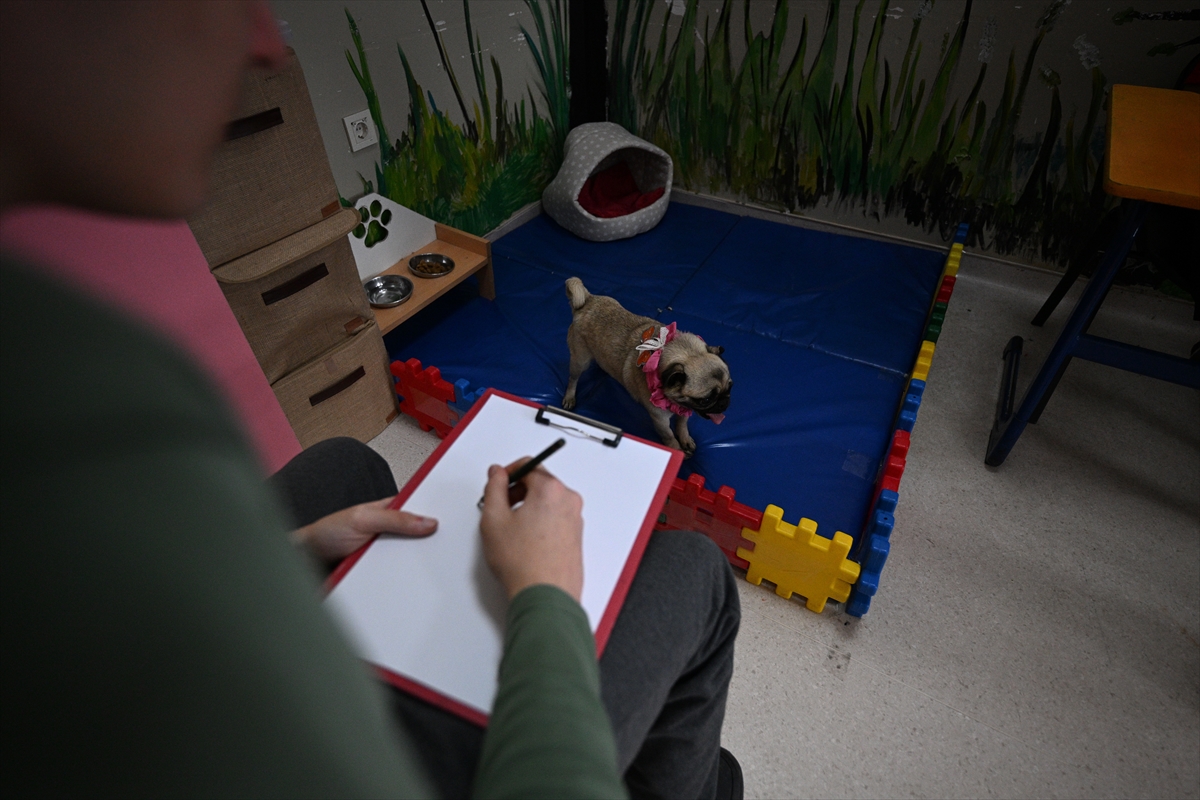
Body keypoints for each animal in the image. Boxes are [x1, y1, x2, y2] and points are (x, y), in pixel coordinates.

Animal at [563, 277, 732, 456]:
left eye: (730, 387)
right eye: (706, 399)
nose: (724, 402)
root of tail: (587, 300)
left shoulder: (685, 410)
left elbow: (682, 425)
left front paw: (685, 440)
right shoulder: (660, 419)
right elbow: (669, 436)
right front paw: (677, 451)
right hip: (580, 361)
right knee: (573, 379)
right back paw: (569, 397)